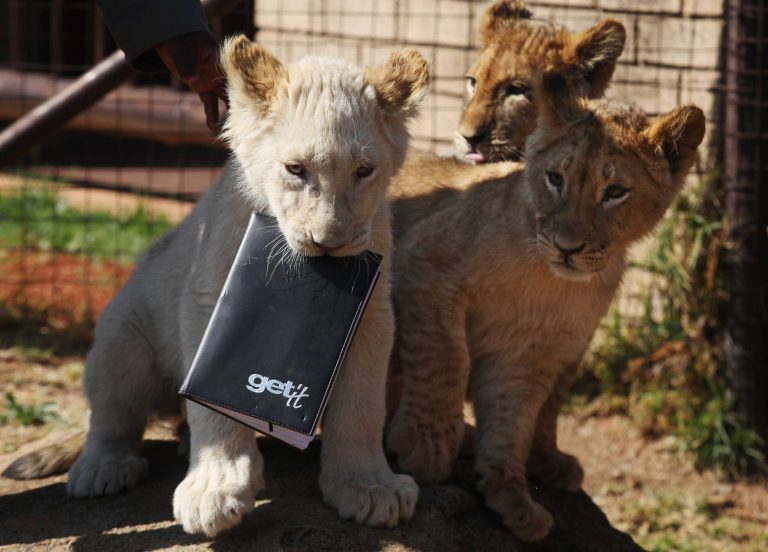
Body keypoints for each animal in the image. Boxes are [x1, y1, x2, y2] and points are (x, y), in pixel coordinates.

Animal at [4, 36, 430, 537]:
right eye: (295, 169)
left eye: (364, 170)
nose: (329, 242)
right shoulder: (206, 299)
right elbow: (212, 410)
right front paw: (215, 488)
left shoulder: (371, 315)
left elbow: (362, 407)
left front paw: (368, 487)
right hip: (122, 338)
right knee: (109, 415)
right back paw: (104, 468)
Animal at [385, 73, 705, 541]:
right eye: (556, 179)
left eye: (615, 192)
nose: (567, 247)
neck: (548, 281)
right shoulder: (424, 262)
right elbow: (446, 361)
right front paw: (425, 448)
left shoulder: (531, 351)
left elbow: (513, 420)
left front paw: (510, 495)